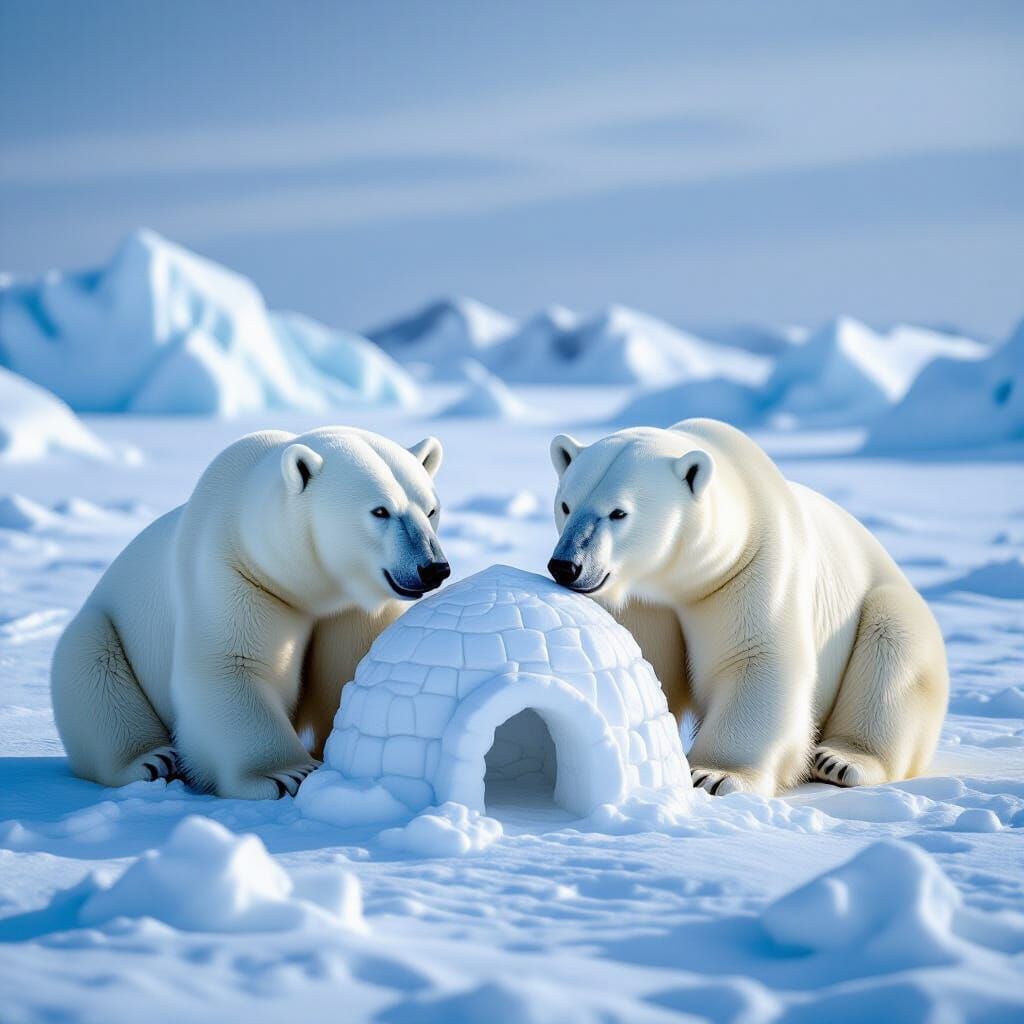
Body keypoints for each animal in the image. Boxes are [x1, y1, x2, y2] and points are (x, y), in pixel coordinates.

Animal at [51, 426, 448, 799]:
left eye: (431, 510)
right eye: (380, 511)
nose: (433, 568)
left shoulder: (352, 609)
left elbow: (352, 665)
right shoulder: (234, 572)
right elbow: (231, 665)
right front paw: (287, 774)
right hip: (102, 628)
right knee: (95, 671)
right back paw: (151, 760)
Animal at [546, 418, 948, 797]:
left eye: (618, 513)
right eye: (566, 505)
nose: (566, 566)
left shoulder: (753, 570)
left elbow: (755, 660)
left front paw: (713, 775)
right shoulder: (643, 602)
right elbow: (644, 659)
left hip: (890, 607)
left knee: (892, 650)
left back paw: (840, 760)